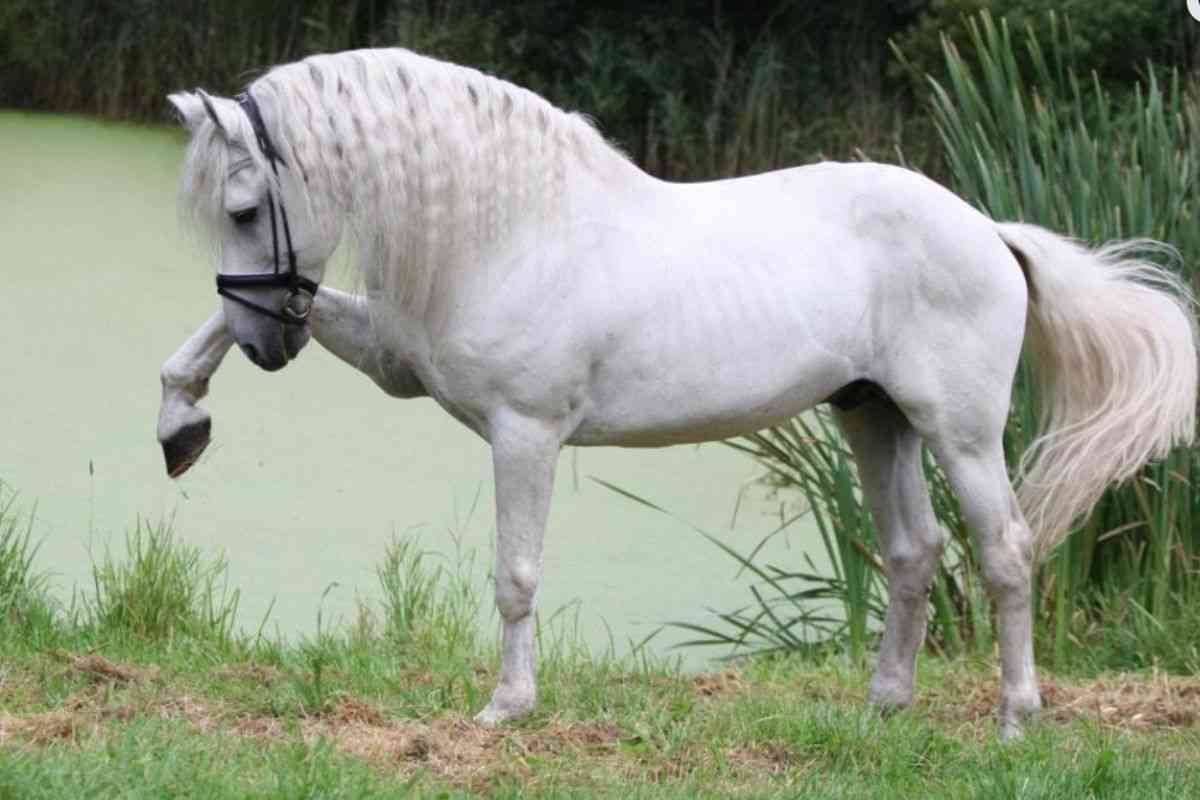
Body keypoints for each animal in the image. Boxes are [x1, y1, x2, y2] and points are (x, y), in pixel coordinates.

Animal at [158, 47, 1197, 736]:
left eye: (244, 209)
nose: (270, 343)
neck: (518, 228)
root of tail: (989, 229)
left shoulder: (524, 433)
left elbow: (515, 574)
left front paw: (506, 707)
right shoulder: (396, 366)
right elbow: (209, 337)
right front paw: (181, 421)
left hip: (962, 432)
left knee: (1006, 553)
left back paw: (1016, 717)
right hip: (876, 419)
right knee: (913, 554)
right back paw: (882, 707)